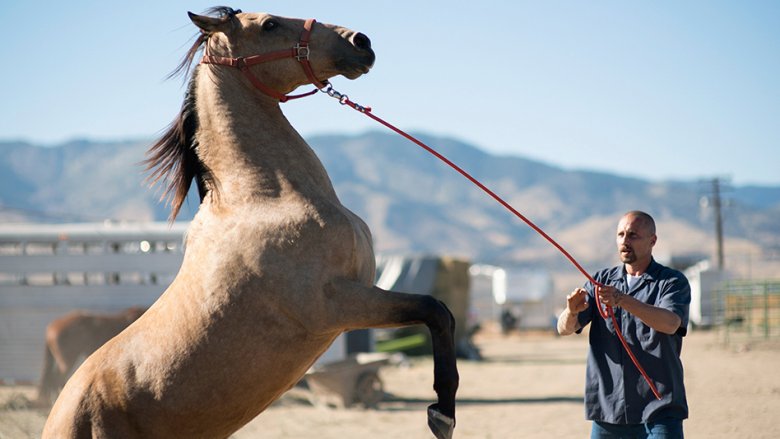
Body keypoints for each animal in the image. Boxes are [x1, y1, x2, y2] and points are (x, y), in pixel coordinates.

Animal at [42, 6, 458, 439]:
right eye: (270, 23)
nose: (361, 42)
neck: (265, 198)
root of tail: (59, 416)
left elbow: (441, 314)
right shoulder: (336, 303)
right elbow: (435, 310)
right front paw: (441, 413)